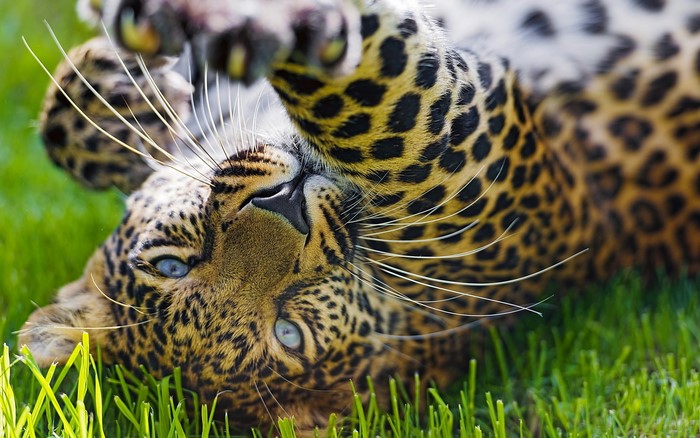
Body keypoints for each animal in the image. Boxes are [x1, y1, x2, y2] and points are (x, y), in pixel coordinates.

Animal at [20, 0, 700, 432]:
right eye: (289, 333)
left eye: (170, 264)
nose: (286, 204)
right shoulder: (454, 154)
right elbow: (362, 95)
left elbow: (62, 119)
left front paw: (123, 82)